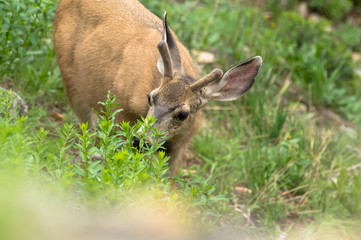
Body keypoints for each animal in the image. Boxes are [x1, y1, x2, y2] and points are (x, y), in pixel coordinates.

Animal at [52, 0, 262, 176]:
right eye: (150, 97)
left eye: (183, 114)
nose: (141, 140)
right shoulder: (119, 117)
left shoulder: (182, 143)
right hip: (71, 82)